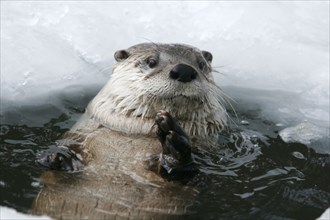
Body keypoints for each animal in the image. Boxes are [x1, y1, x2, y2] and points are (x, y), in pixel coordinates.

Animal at [32, 42, 227, 218]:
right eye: (151, 61)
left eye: (201, 64)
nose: (184, 70)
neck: (133, 134)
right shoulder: (81, 133)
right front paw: (56, 156)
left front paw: (174, 147)